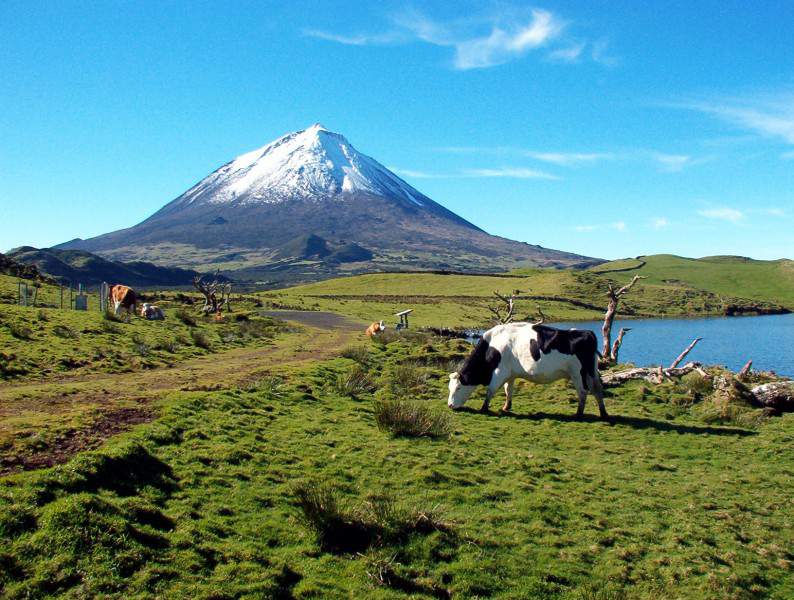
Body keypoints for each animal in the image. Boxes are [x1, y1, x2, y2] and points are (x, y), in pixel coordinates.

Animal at [446, 322, 608, 420]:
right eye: (449, 388)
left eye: (458, 387)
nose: (450, 405)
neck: (492, 345)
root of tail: (588, 333)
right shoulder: (510, 373)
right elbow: (508, 390)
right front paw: (506, 407)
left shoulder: (499, 372)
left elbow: (490, 391)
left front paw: (484, 408)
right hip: (591, 371)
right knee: (597, 389)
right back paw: (603, 413)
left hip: (578, 373)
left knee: (583, 391)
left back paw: (578, 414)